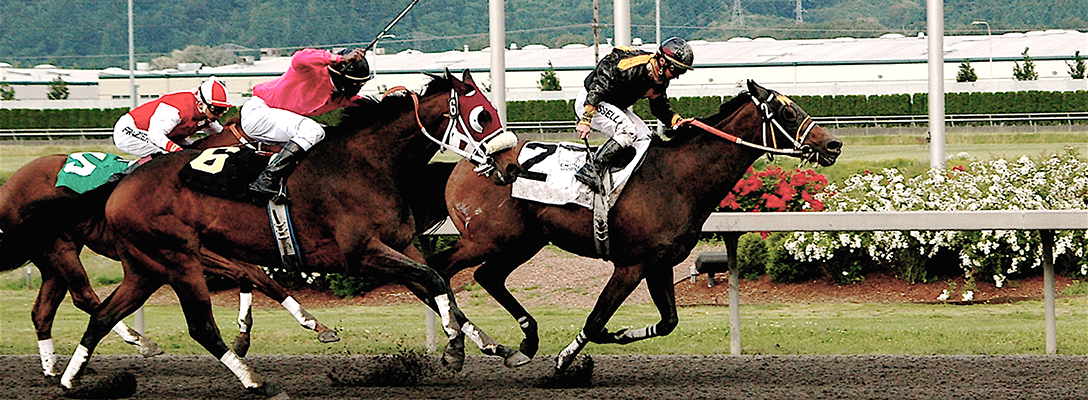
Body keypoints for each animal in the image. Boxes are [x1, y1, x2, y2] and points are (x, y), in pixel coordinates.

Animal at [0, 120, 339, 377]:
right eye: (263, 141)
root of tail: (9, 186)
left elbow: (263, 280)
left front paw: (316, 325)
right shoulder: (198, 253)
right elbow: (251, 276)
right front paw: (244, 337)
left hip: (50, 259)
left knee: (42, 312)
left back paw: (52, 369)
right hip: (61, 249)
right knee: (84, 296)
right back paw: (140, 341)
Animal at [57, 70, 525, 398]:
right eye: (482, 115)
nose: (511, 166)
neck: (366, 164)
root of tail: (121, 185)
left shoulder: (400, 244)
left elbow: (436, 285)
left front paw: (494, 347)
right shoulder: (362, 253)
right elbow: (433, 280)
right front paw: (456, 350)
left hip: (146, 267)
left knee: (102, 316)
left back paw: (68, 380)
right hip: (180, 259)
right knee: (201, 326)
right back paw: (255, 381)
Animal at [427, 79, 843, 370]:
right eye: (787, 114)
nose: (833, 145)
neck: (678, 177)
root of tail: (469, 161)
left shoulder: (660, 264)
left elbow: (668, 321)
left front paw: (620, 333)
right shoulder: (631, 265)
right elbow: (596, 319)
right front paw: (565, 361)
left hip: (522, 241)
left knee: (486, 277)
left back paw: (519, 345)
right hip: (486, 238)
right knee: (440, 271)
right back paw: (466, 345)